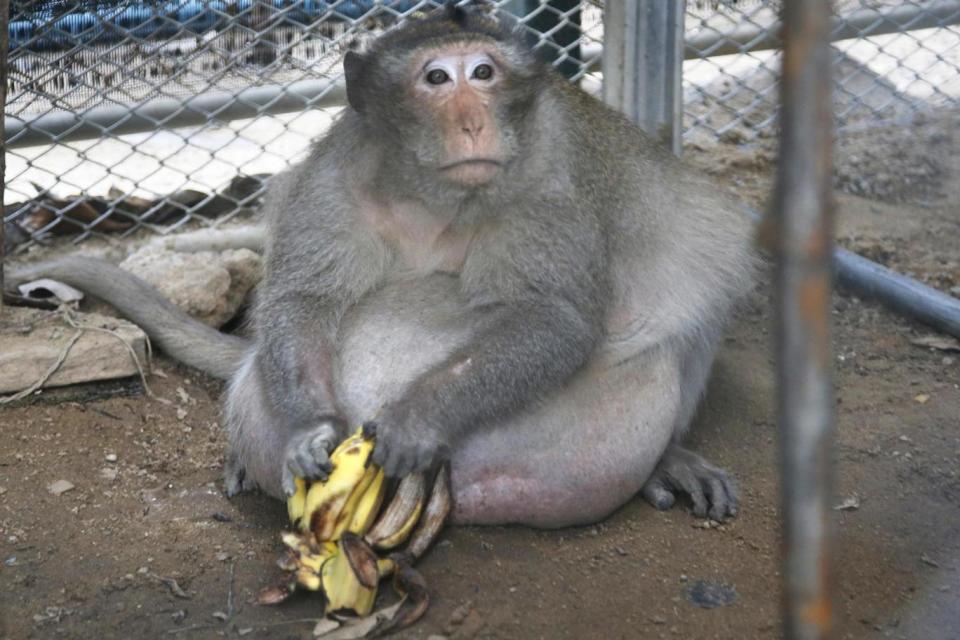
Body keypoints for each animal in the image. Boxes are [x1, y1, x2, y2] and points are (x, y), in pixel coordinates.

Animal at [7, 5, 756, 528]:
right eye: (437, 78)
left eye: (484, 72)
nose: (474, 122)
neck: (433, 194)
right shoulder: (334, 180)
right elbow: (302, 300)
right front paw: (310, 432)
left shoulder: (548, 182)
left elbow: (556, 318)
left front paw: (416, 420)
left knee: (704, 258)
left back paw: (668, 456)